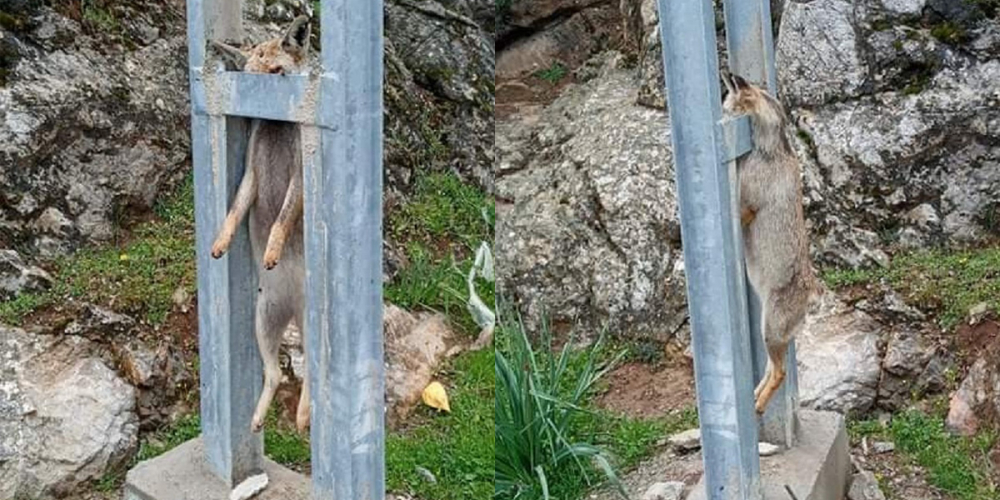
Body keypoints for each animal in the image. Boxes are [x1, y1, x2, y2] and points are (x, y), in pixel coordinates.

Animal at [720, 70, 812, 414]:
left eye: (726, 106)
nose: (720, 121)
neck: (770, 149)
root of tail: (814, 292)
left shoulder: (746, 207)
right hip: (769, 332)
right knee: (771, 369)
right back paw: (755, 396)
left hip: (770, 330)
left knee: (781, 372)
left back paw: (759, 405)